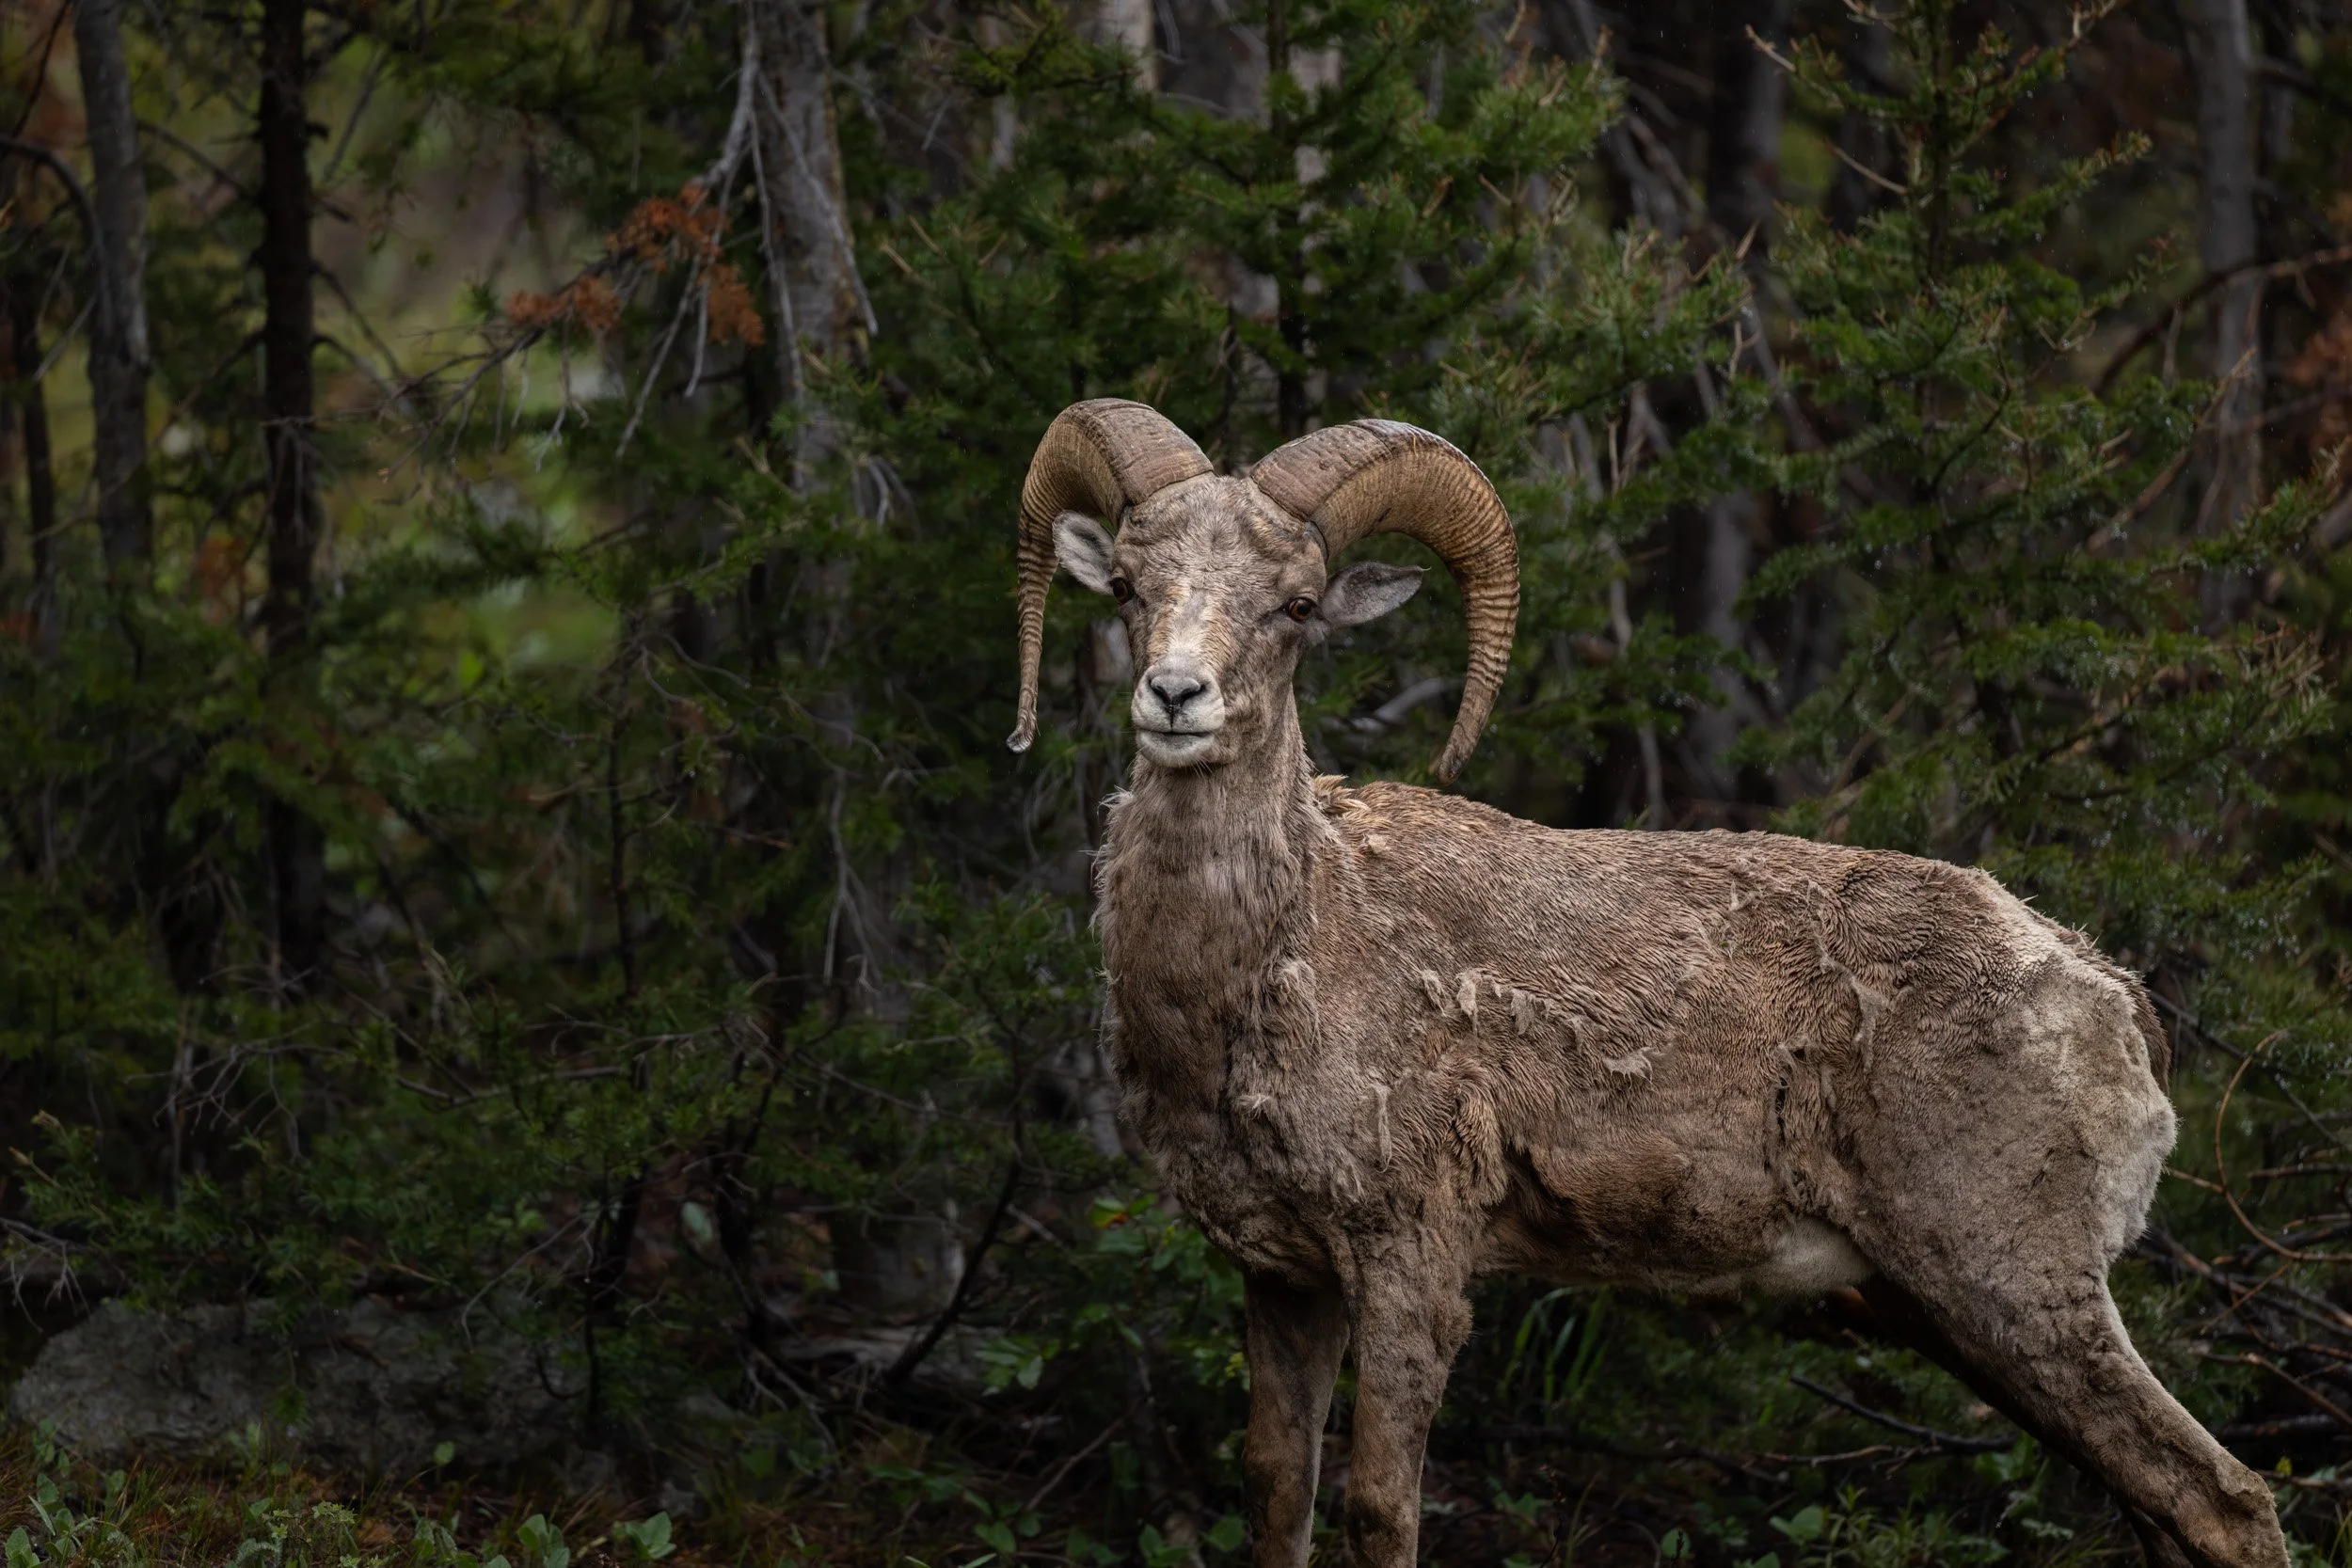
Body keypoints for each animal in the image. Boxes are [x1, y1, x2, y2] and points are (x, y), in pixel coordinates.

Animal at [1004, 399, 2287, 1568]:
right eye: (1128, 587)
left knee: (2223, 1500)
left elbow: (1377, 1510)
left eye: (1298, 607)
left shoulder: (1411, 1265)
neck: (1280, 959)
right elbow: (1281, 1495)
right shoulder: (1284, 1280)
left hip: (2018, 1288)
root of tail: (2102, 989)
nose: (1176, 698)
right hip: (1955, 1313)